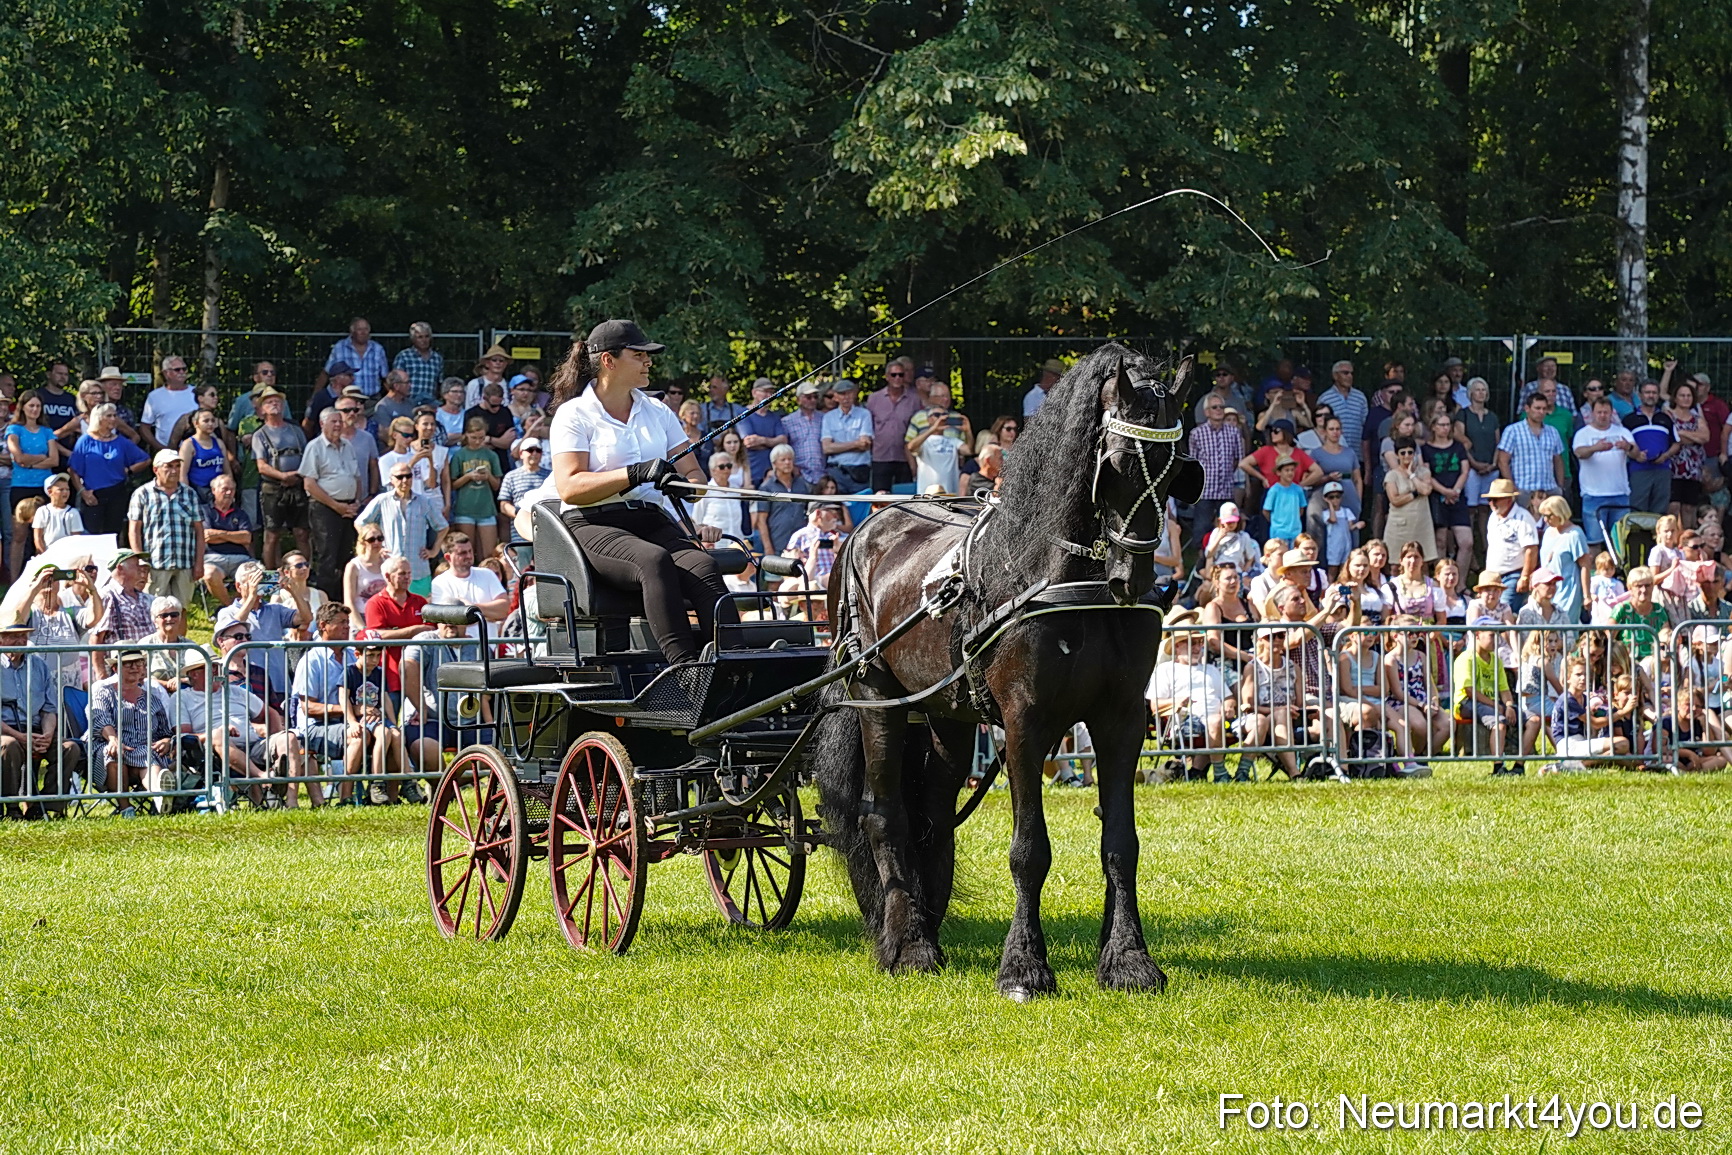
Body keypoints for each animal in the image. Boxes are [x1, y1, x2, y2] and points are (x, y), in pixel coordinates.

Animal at [812, 342, 1204, 999]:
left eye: (1177, 470)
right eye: (1119, 465)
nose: (1134, 580)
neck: (1061, 578)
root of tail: (866, 527)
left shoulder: (1121, 720)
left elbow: (1121, 843)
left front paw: (1127, 959)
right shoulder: (1025, 724)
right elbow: (1030, 850)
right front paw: (1024, 967)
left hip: (945, 714)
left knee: (932, 816)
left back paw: (926, 924)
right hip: (878, 696)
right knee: (884, 814)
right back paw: (910, 944)